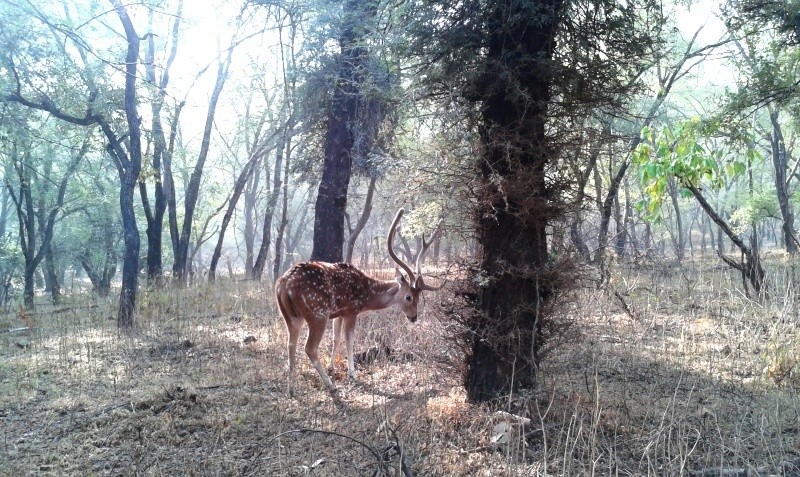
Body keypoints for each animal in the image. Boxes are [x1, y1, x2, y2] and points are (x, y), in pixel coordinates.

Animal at [275, 208, 444, 397]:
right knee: (309, 347)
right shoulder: (351, 310)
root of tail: (284, 285)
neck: (366, 293)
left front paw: (332, 367)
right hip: (317, 313)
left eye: (419, 297)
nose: (414, 317)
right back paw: (330, 386)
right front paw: (352, 373)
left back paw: (291, 388)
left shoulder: (338, 313)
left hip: (290, 316)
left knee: (290, 344)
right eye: (409, 297)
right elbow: (349, 340)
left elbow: (336, 338)